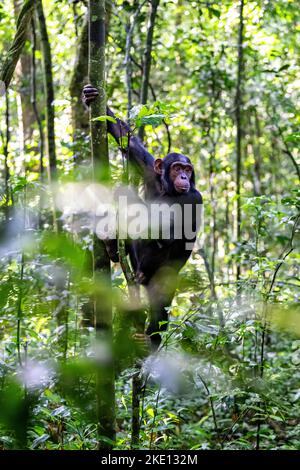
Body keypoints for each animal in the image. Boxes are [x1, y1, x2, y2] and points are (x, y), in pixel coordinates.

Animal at [83, 83, 203, 348]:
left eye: (188, 169)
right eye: (177, 168)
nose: (184, 177)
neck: (167, 189)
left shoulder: (193, 198)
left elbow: (166, 233)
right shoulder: (149, 169)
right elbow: (128, 141)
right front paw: (90, 96)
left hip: (163, 279)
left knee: (160, 306)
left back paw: (150, 340)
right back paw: (112, 247)